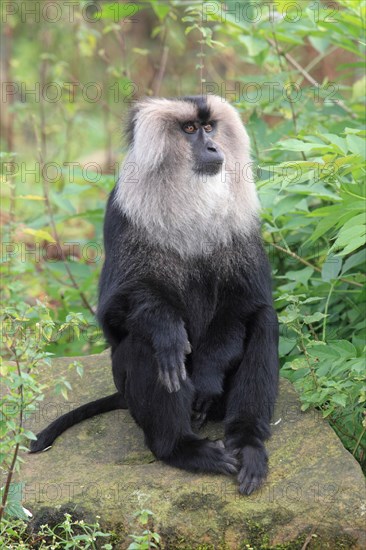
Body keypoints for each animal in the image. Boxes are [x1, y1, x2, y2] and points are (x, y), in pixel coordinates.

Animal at [30, 95, 278, 496]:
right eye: (190, 129)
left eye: (210, 128)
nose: (213, 147)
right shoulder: (123, 213)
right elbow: (119, 311)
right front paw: (166, 331)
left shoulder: (244, 225)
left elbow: (246, 301)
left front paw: (208, 375)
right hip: (127, 387)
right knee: (147, 342)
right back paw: (182, 448)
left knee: (264, 320)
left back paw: (248, 444)